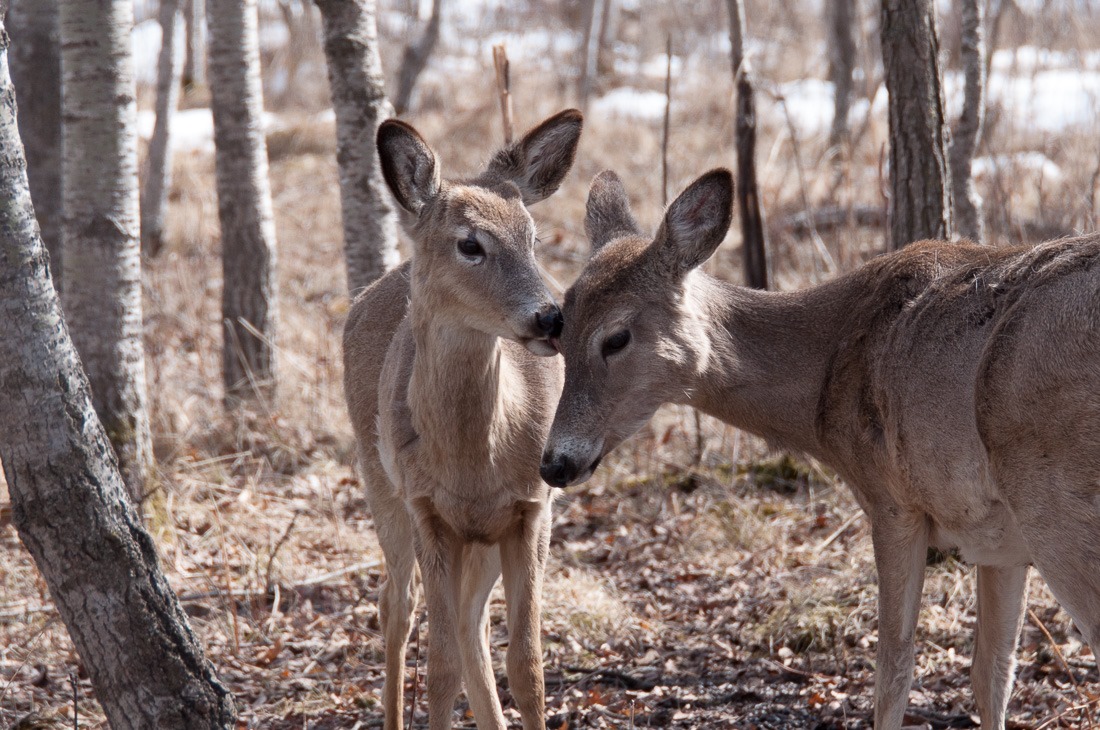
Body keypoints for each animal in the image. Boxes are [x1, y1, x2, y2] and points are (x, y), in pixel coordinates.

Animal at [343, 109, 585, 729]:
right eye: (470, 244)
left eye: (533, 238)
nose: (551, 318)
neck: (475, 458)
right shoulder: (426, 508)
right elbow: (440, 668)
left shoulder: (532, 507)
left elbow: (527, 666)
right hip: (379, 482)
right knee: (396, 605)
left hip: (481, 538)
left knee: (471, 622)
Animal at [541, 169, 1100, 729]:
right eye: (559, 332)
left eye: (616, 338)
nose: (554, 464)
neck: (826, 368)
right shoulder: (997, 540)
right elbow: (992, 675)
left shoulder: (892, 500)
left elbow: (893, 670)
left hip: (1055, 500)